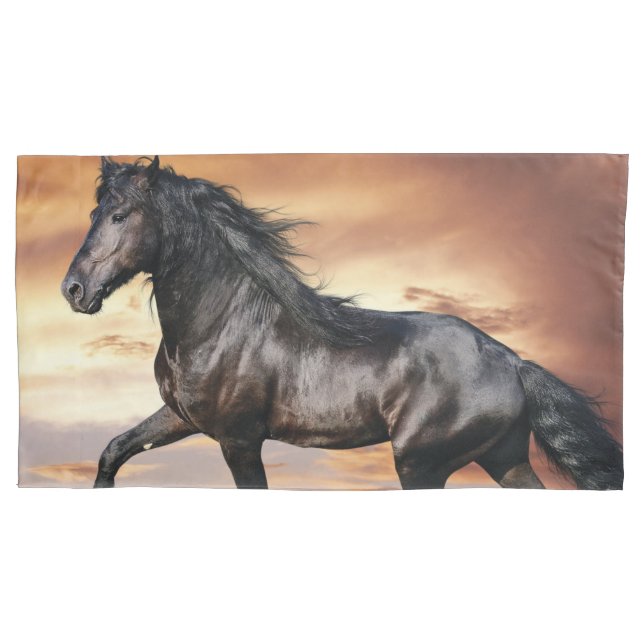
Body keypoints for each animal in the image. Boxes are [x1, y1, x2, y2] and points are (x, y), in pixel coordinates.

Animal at [61, 156, 624, 490]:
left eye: (121, 215)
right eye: (94, 214)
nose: (73, 290)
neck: (220, 325)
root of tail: (512, 360)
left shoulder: (239, 440)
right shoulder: (183, 417)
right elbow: (113, 451)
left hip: (421, 463)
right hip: (504, 458)